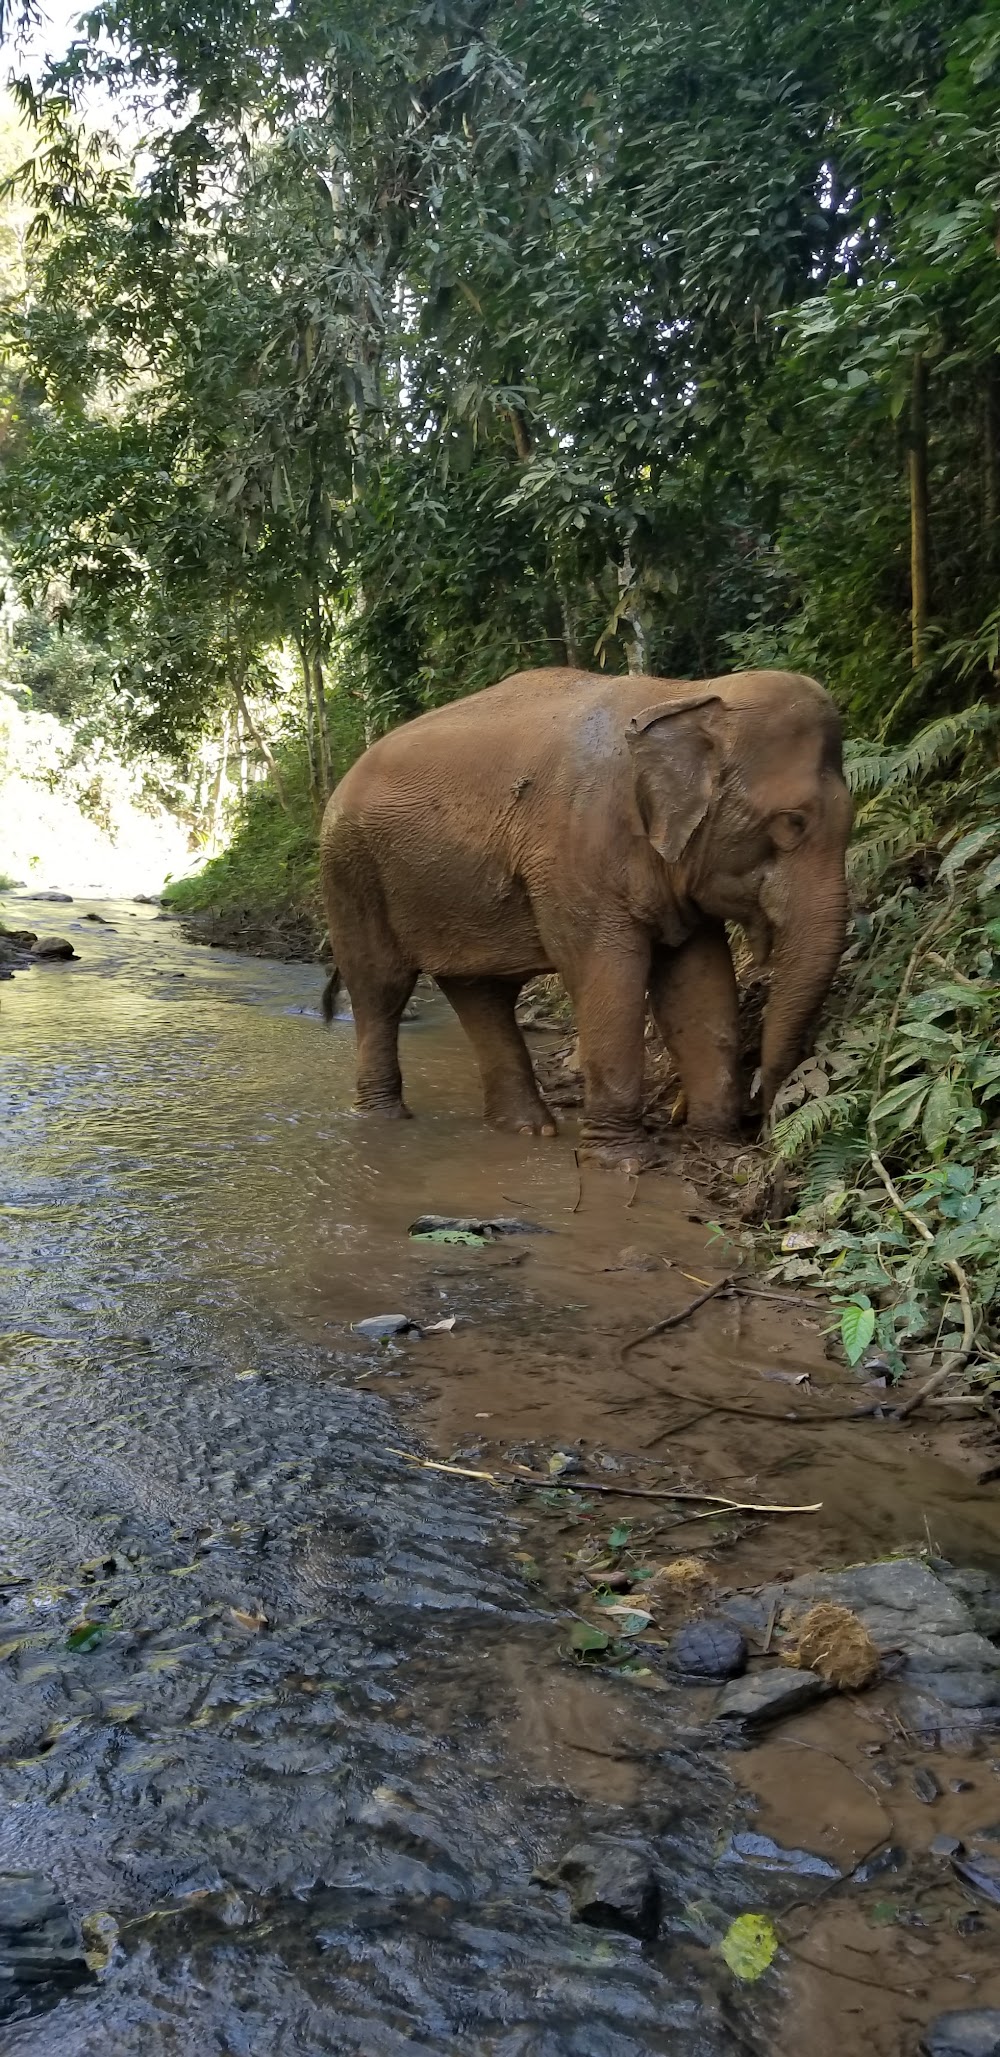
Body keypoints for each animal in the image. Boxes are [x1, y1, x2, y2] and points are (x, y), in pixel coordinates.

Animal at [320, 670, 851, 1168]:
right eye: (791, 824)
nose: (766, 1125)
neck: (686, 693)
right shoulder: (576, 853)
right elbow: (608, 975)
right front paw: (624, 1162)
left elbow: (698, 986)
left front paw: (716, 1146)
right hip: (350, 871)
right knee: (381, 988)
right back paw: (385, 1118)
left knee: (481, 993)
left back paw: (527, 1130)